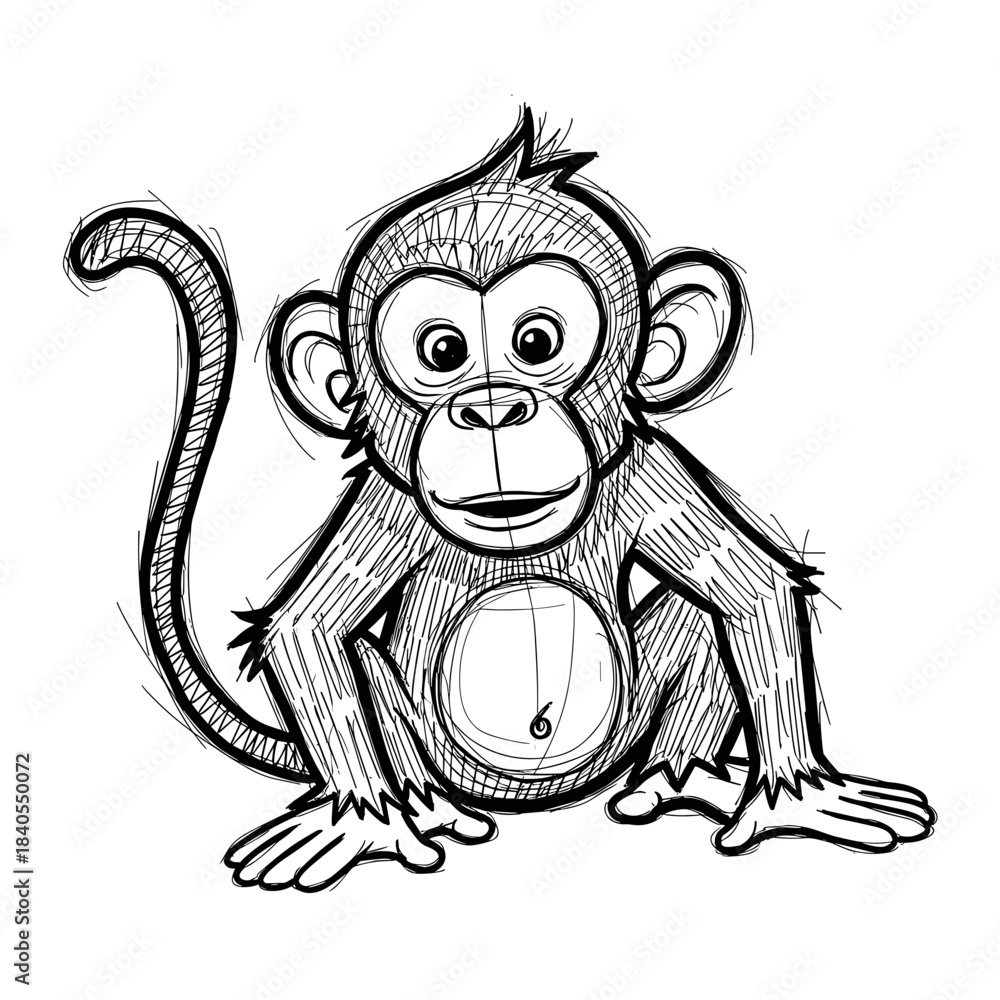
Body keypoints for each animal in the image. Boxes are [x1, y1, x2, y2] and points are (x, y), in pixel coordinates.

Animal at [66, 108, 934, 892]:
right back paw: (427, 809)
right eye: (443, 351)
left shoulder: (645, 470)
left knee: (697, 614)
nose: (490, 407)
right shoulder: (390, 500)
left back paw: (680, 778)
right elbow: (310, 629)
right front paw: (362, 824)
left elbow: (748, 589)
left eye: (537, 342)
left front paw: (797, 798)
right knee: (369, 668)